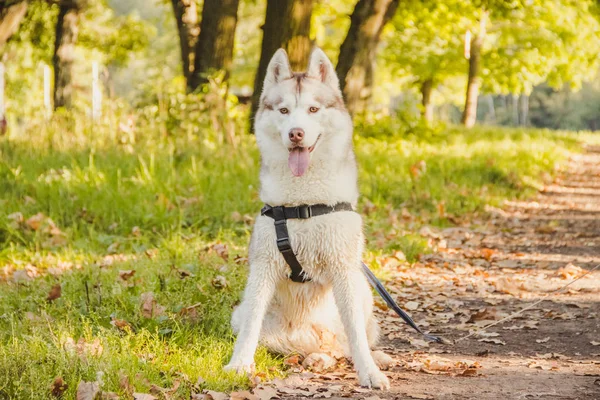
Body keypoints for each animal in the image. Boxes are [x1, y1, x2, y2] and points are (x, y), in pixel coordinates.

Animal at [224, 48, 390, 390]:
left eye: (313, 109)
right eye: (284, 110)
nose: (296, 133)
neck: (304, 204)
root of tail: (308, 340)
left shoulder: (343, 267)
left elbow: (355, 334)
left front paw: (369, 372)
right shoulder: (263, 266)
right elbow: (250, 327)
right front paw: (239, 364)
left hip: (362, 290)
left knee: (347, 344)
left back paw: (364, 358)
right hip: (243, 313)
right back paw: (316, 358)